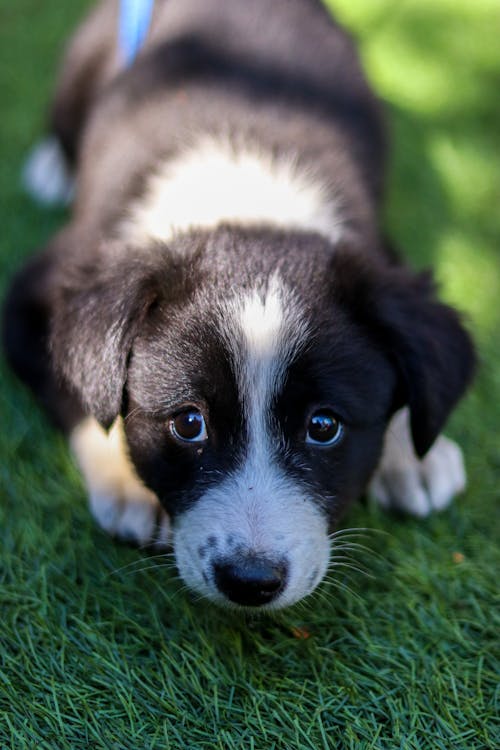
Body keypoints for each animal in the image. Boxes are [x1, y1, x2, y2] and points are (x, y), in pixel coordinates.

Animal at [1, 0, 474, 612]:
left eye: (324, 426)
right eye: (188, 423)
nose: (250, 581)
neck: (248, 198)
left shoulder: (381, 258)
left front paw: (413, 456)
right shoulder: (42, 287)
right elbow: (80, 390)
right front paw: (128, 482)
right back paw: (52, 169)